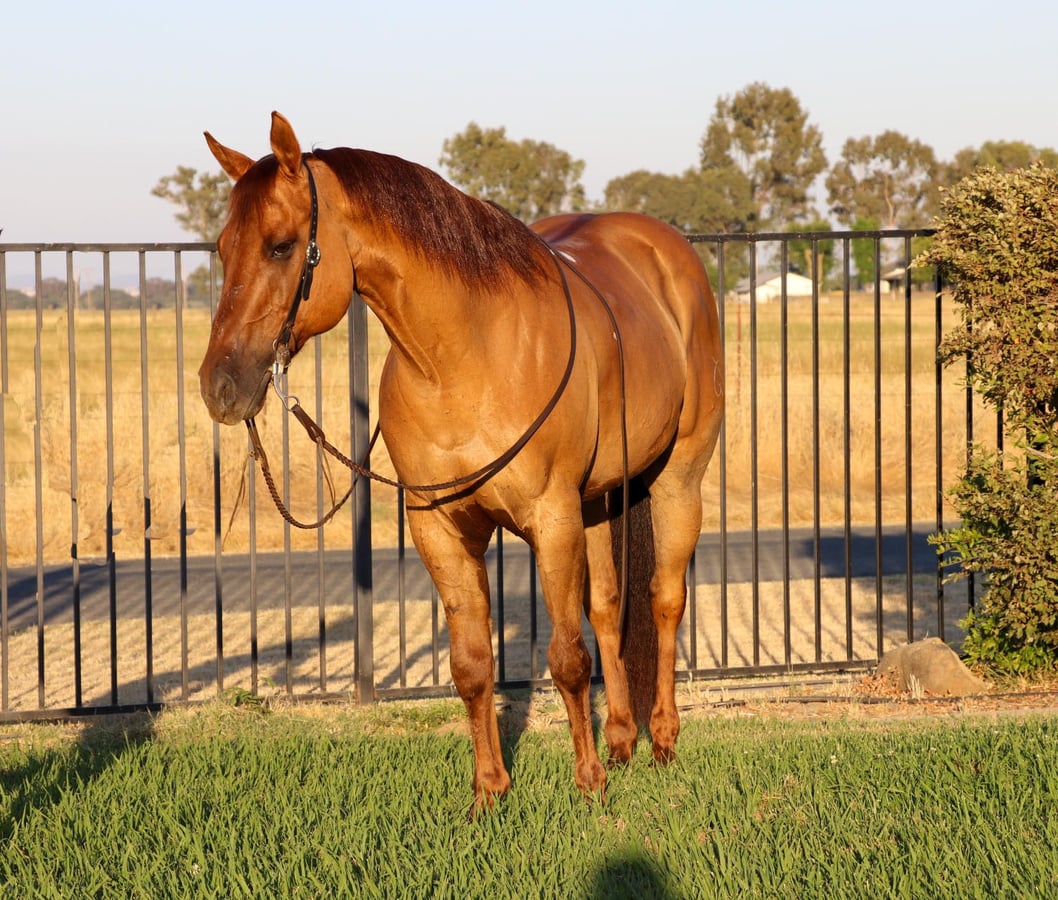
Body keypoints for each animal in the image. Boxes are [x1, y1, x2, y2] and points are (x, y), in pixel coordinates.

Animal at [199, 111, 724, 815]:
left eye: (281, 246)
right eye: (223, 247)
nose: (220, 386)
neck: (459, 361)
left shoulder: (551, 519)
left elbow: (566, 659)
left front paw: (588, 786)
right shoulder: (442, 529)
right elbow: (473, 665)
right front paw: (490, 794)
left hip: (677, 480)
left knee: (664, 599)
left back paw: (662, 738)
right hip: (596, 501)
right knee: (609, 608)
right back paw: (621, 738)